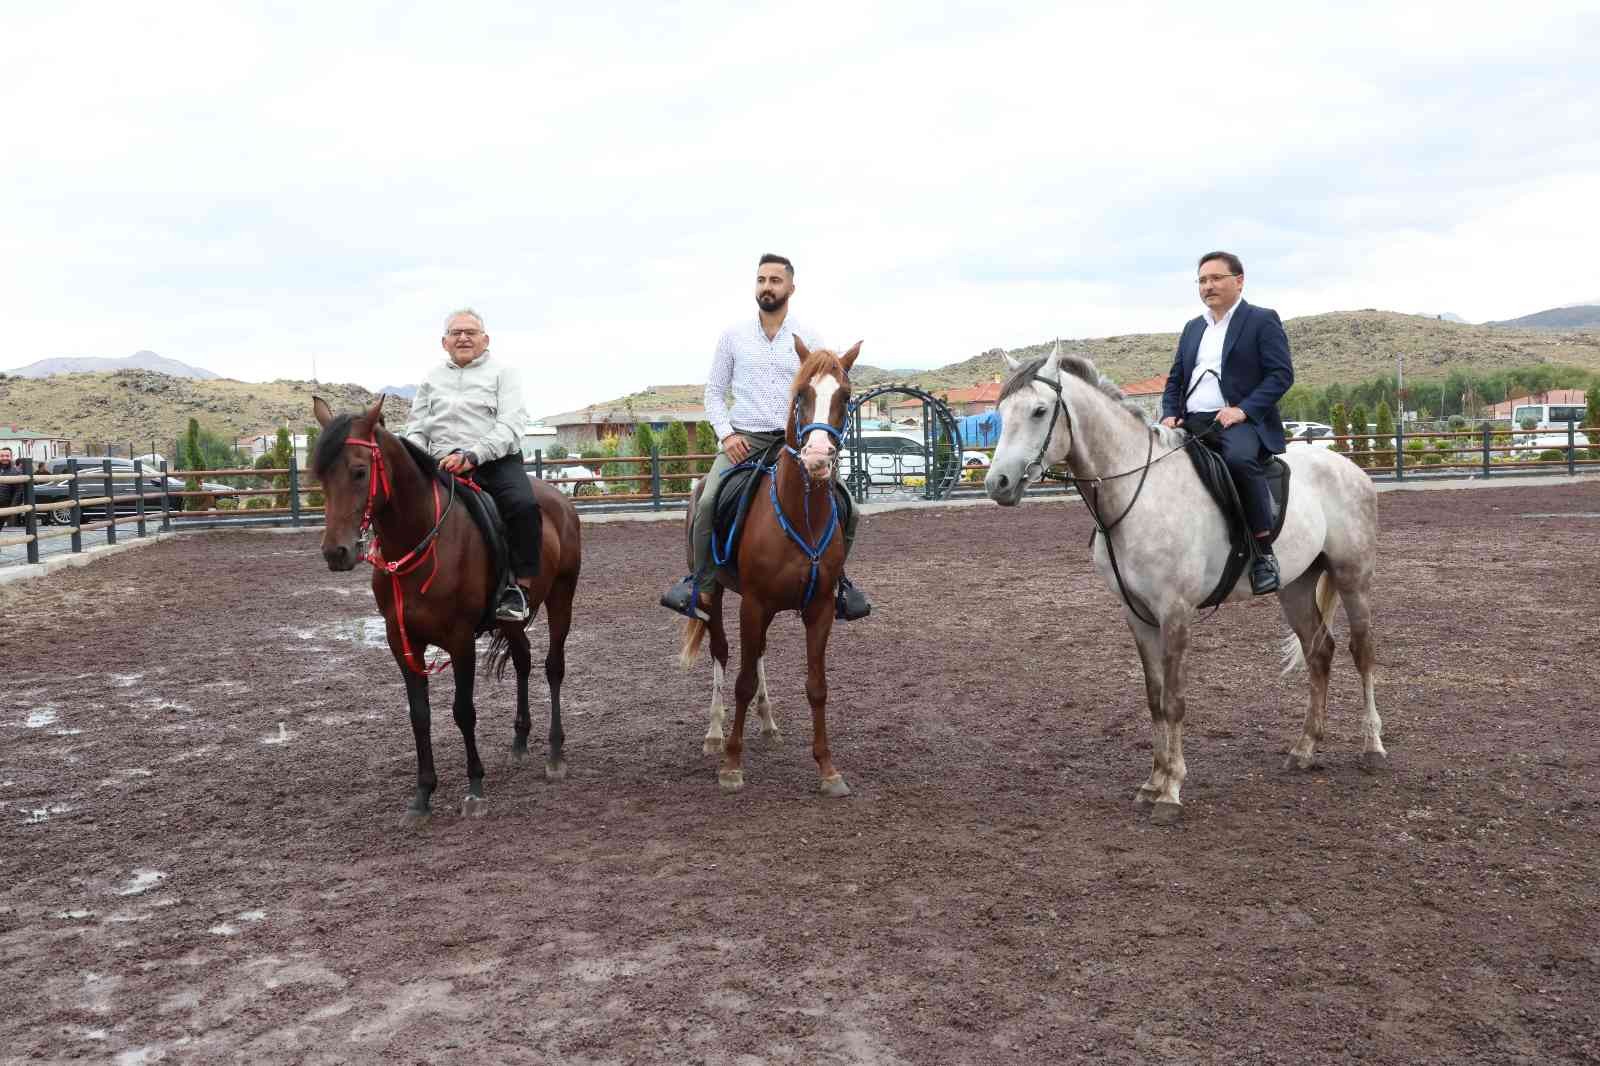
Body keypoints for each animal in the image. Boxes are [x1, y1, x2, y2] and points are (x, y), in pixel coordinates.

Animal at [307, 393, 582, 816]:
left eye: (359, 471)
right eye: (320, 475)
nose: (336, 552)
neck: (422, 540)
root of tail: (560, 502)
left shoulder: (460, 639)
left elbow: (463, 711)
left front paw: (475, 788)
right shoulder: (402, 641)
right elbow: (420, 715)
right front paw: (423, 794)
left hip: (562, 597)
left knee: (553, 667)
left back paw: (554, 754)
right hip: (511, 621)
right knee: (522, 661)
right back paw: (520, 743)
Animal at [681, 336, 870, 793]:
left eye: (845, 396)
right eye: (800, 394)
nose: (817, 457)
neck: (799, 514)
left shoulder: (819, 609)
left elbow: (816, 686)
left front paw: (827, 769)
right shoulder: (753, 604)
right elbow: (742, 681)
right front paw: (732, 764)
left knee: (759, 653)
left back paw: (767, 723)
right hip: (714, 594)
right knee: (721, 652)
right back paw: (715, 733)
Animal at [979, 344, 1382, 816]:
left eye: (1040, 411)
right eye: (1000, 413)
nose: (998, 483)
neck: (1137, 493)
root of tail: (1349, 468)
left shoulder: (1175, 612)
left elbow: (1174, 701)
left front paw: (1171, 791)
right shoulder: (1138, 615)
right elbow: (1154, 698)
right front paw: (1152, 782)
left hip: (1353, 576)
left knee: (1362, 652)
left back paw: (1373, 747)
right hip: (1296, 587)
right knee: (1320, 653)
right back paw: (1304, 749)